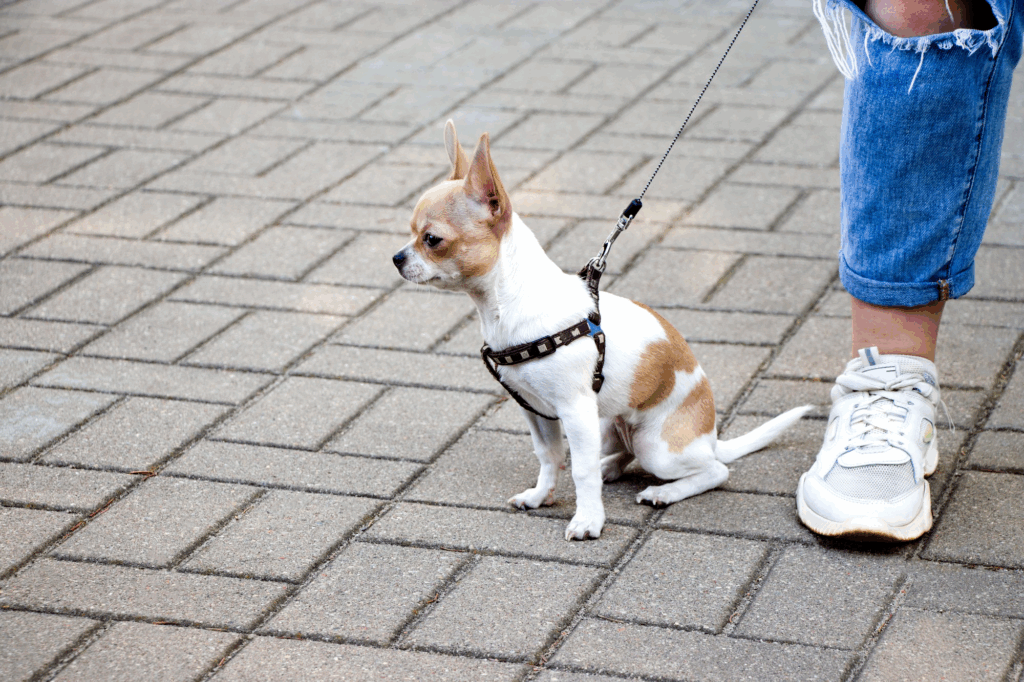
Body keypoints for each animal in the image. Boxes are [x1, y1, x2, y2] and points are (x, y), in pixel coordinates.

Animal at [393, 120, 812, 540]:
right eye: (409, 232)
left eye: (432, 240)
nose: (396, 258)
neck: (507, 307)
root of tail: (709, 436)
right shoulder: (536, 411)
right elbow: (549, 457)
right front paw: (541, 495)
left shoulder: (575, 411)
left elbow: (579, 470)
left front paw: (588, 520)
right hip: (609, 421)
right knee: (623, 452)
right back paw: (609, 466)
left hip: (656, 448)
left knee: (715, 471)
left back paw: (664, 491)